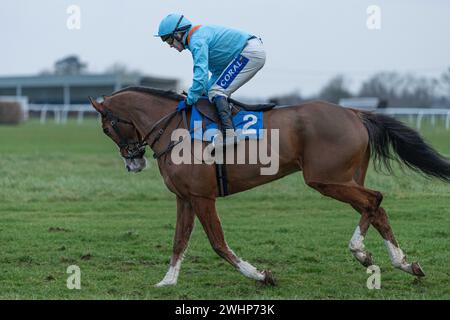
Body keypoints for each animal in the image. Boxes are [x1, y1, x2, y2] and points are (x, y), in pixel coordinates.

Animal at [88, 86, 450, 286]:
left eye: (106, 127)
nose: (133, 162)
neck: (176, 130)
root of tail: (354, 112)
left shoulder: (203, 197)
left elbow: (218, 244)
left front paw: (261, 276)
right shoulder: (185, 198)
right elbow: (179, 241)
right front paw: (167, 281)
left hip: (325, 179)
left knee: (374, 199)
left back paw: (373, 254)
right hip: (343, 177)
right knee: (374, 207)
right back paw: (394, 260)